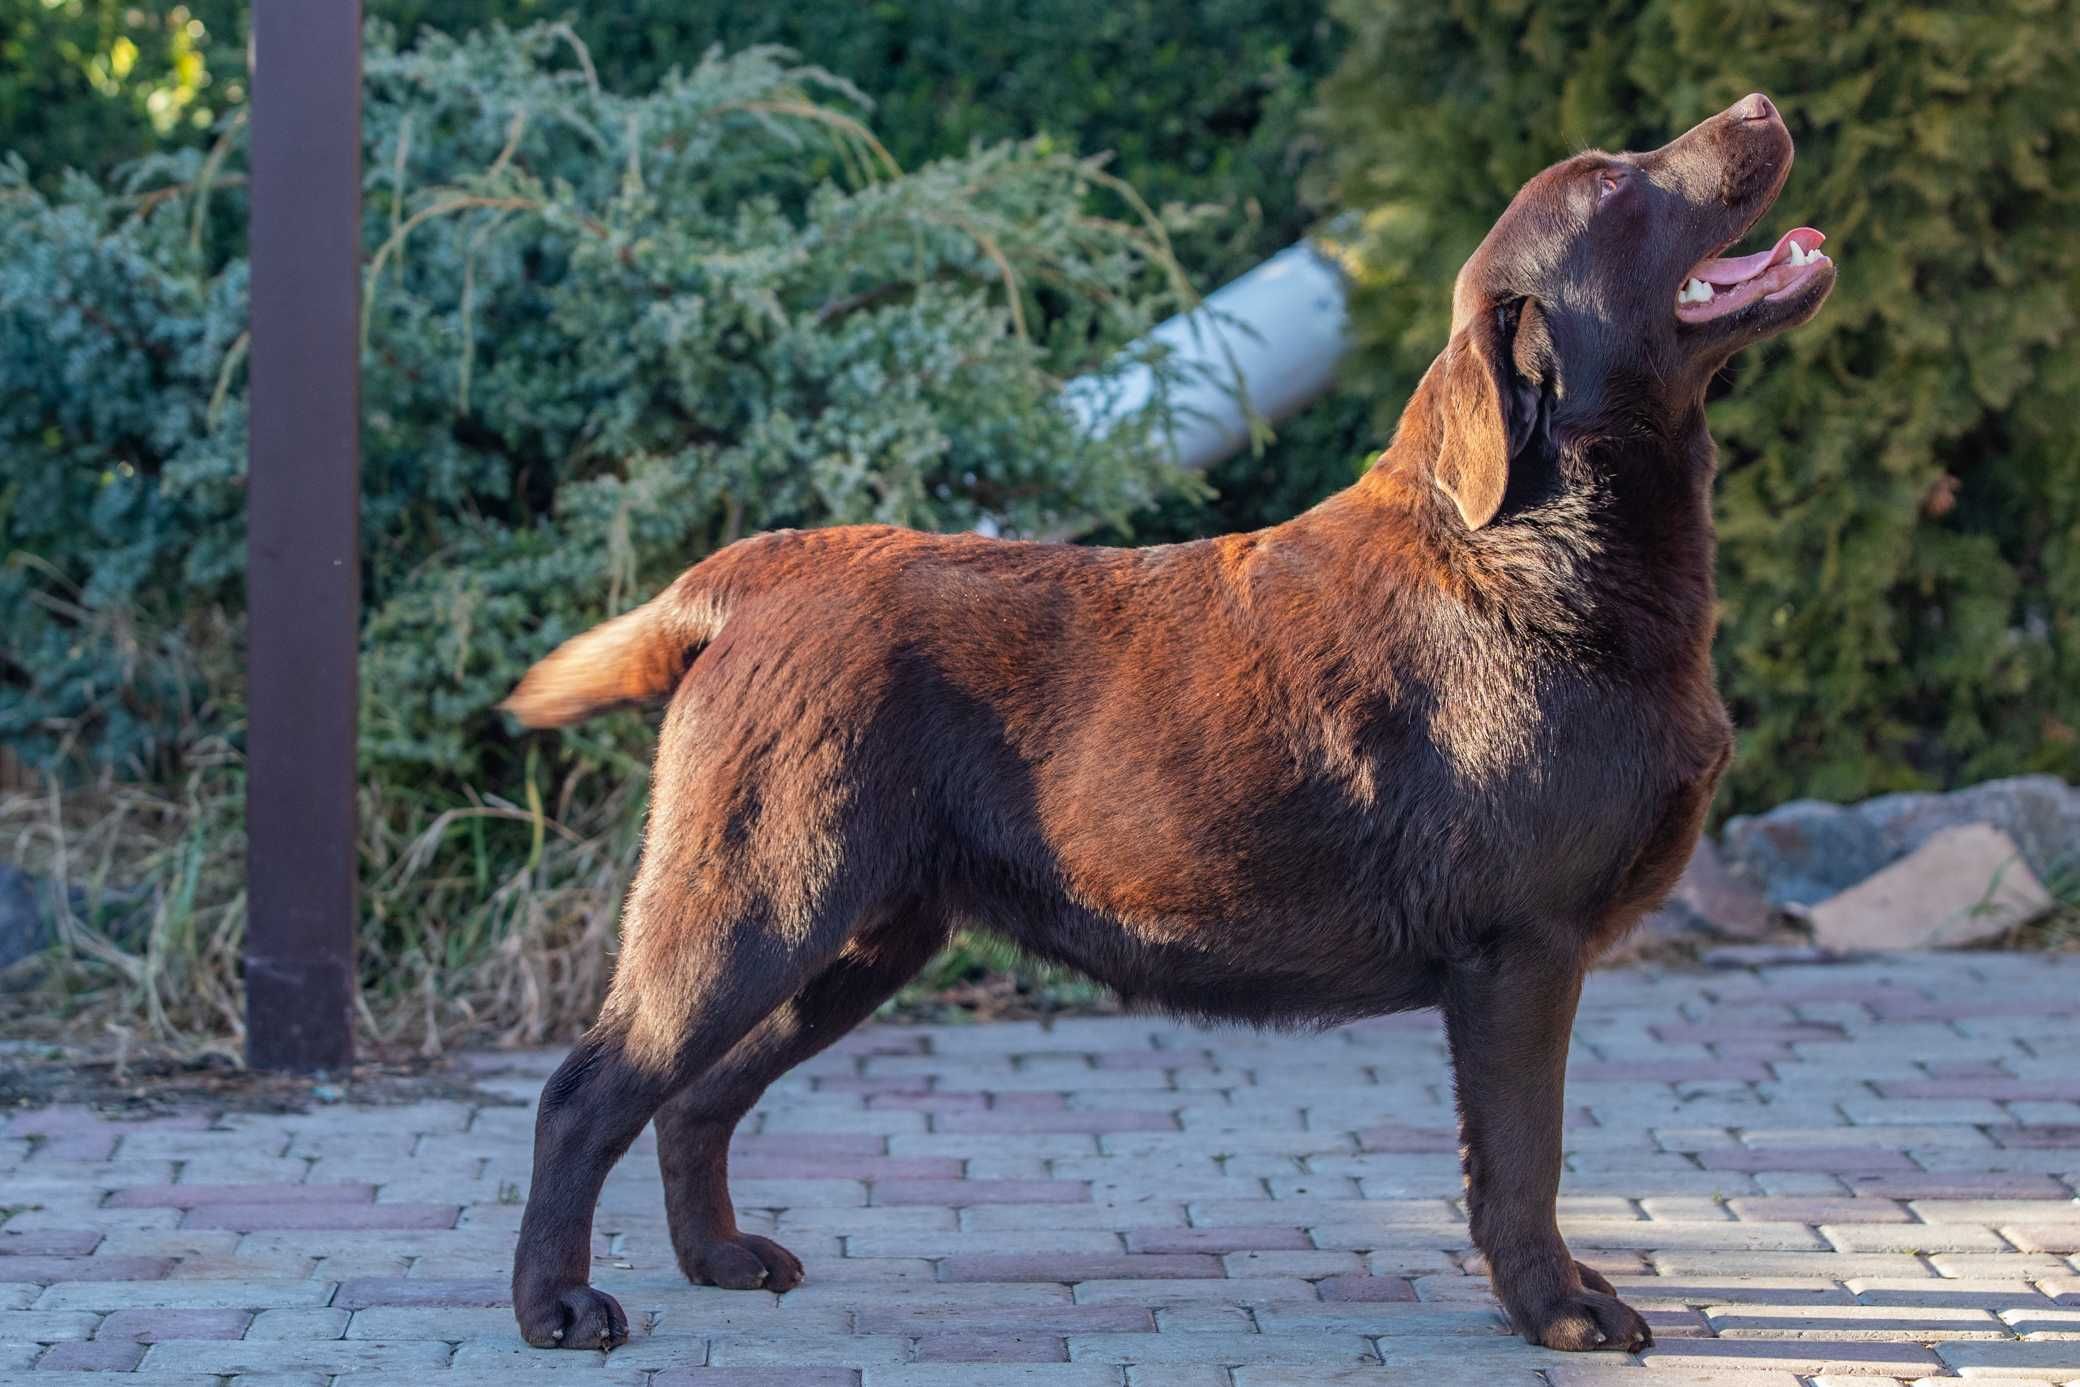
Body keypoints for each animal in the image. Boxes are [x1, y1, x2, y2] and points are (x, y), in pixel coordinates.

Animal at [507, 95, 1838, 1355]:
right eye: (1612, 185)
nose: (1763, 104)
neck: (1538, 547)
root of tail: (764, 568)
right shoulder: (1521, 947)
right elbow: (1524, 1160)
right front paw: (1556, 1309)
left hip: (857, 938)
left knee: (693, 1099)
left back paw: (718, 1259)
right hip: (754, 903)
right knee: (587, 1091)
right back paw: (557, 1304)